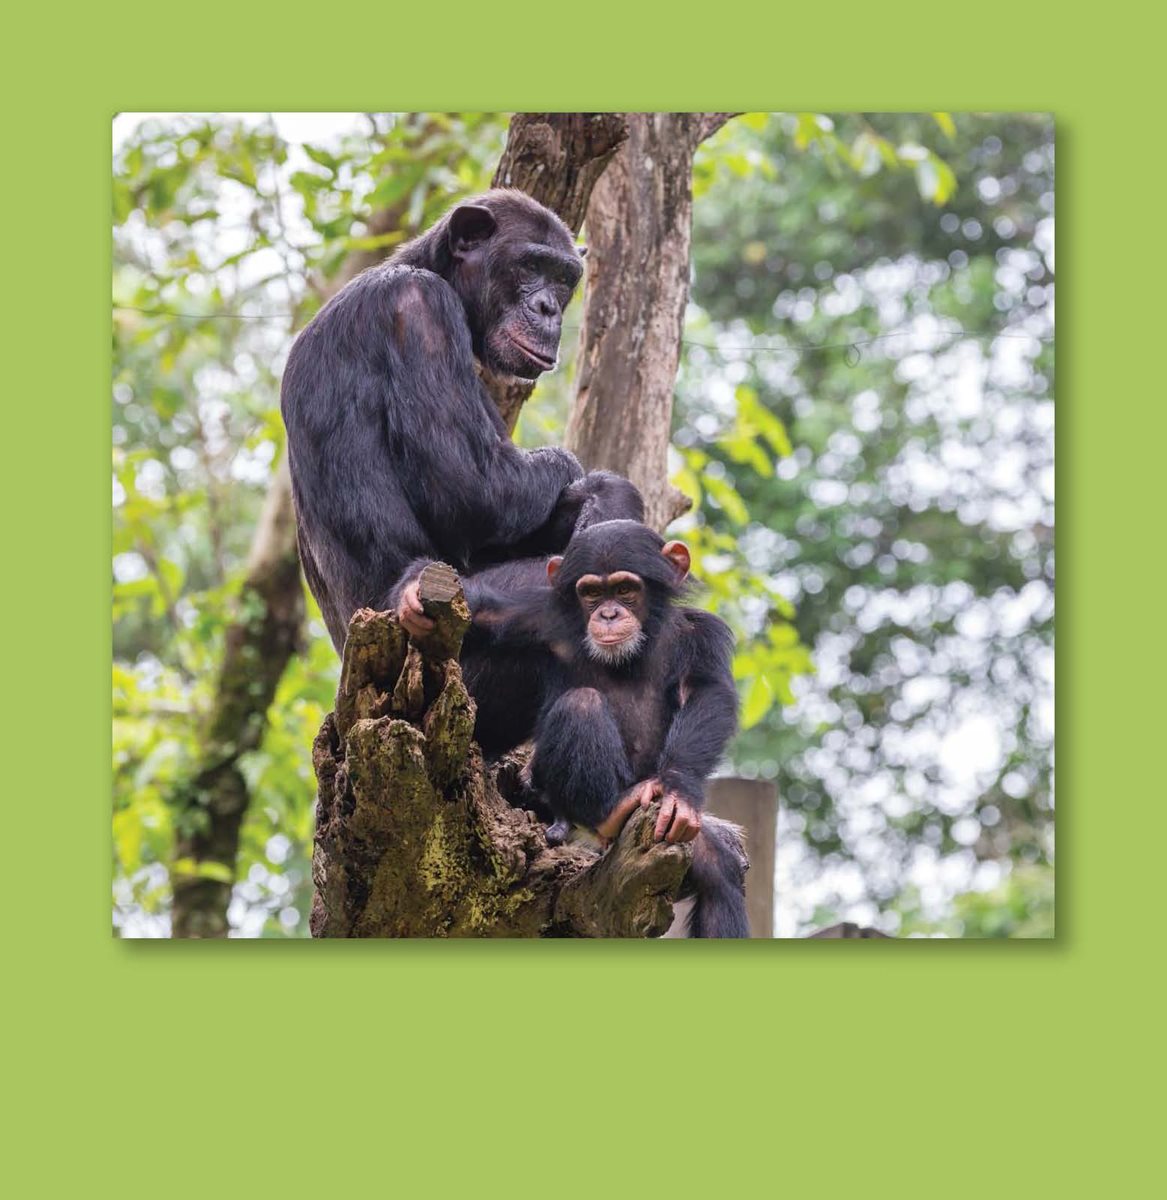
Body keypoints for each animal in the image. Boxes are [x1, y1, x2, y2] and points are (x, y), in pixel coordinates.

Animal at [282, 189, 643, 657]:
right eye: (530, 266)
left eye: (564, 278)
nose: (548, 308)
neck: (433, 270)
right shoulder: (419, 308)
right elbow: (474, 489)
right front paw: (575, 471)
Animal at [470, 520, 753, 940]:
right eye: (591, 593)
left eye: (624, 589)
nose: (606, 614)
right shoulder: (537, 618)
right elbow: (486, 616)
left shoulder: (704, 633)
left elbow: (707, 693)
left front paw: (678, 790)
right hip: (553, 797)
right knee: (582, 704)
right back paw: (610, 810)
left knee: (719, 870)